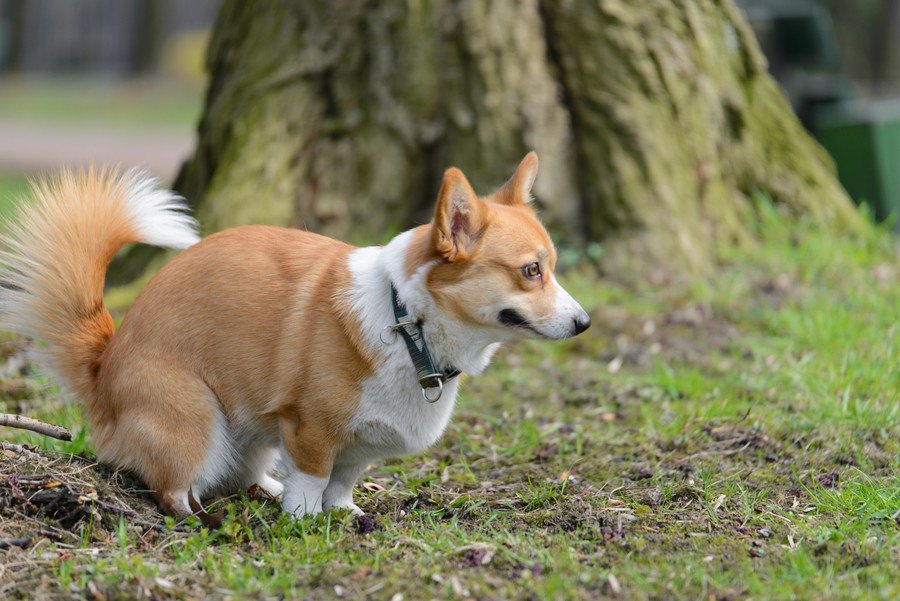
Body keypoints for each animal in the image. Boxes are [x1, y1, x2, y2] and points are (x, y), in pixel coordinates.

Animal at [0, 154, 588, 520]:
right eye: (531, 271)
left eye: (553, 267)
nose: (584, 324)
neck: (407, 323)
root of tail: (102, 367)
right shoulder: (309, 428)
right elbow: (312, 475)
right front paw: (303, 520)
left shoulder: (358, 446)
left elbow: (344, 478)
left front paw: (343, 513)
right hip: (195, 416)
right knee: (173, 487)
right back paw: (198, 518)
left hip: (246, 431)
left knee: (243, 473)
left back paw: (264, 489)